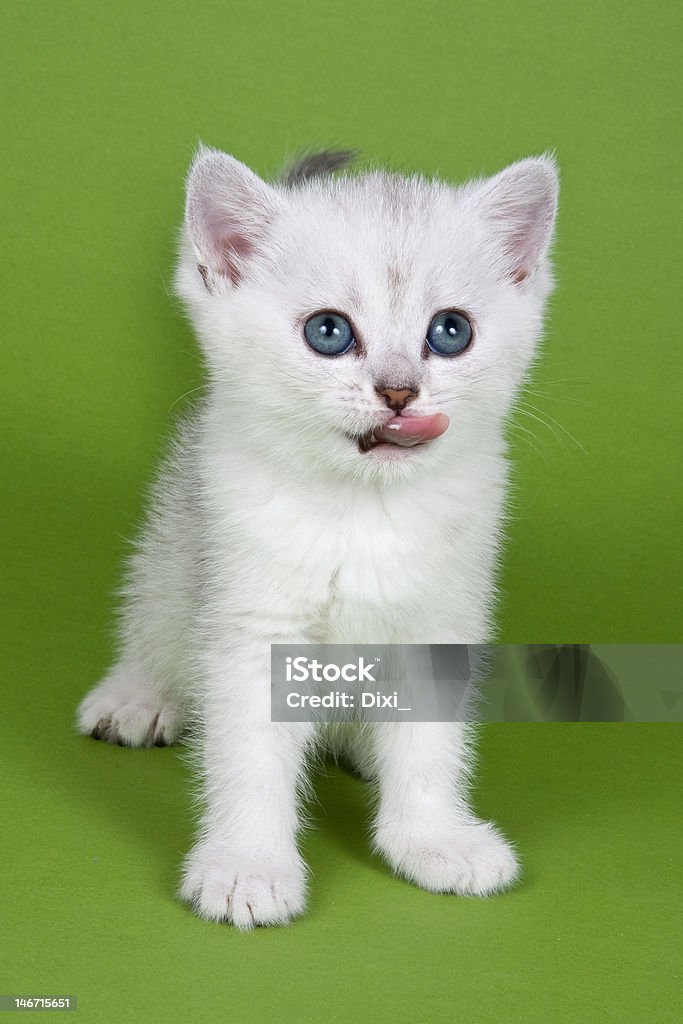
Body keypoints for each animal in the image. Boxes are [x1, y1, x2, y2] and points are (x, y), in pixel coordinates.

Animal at [74, 146, 557, 929]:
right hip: (177, 541)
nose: (399, 391)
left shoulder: (441, 618)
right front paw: (247, 865)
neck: (362, 511)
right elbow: (249, 754)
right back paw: (139, 694)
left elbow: (429, 743)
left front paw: (433, 838)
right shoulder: (251, 618)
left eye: (450, 332)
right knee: (154, 614)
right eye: (328, 332)